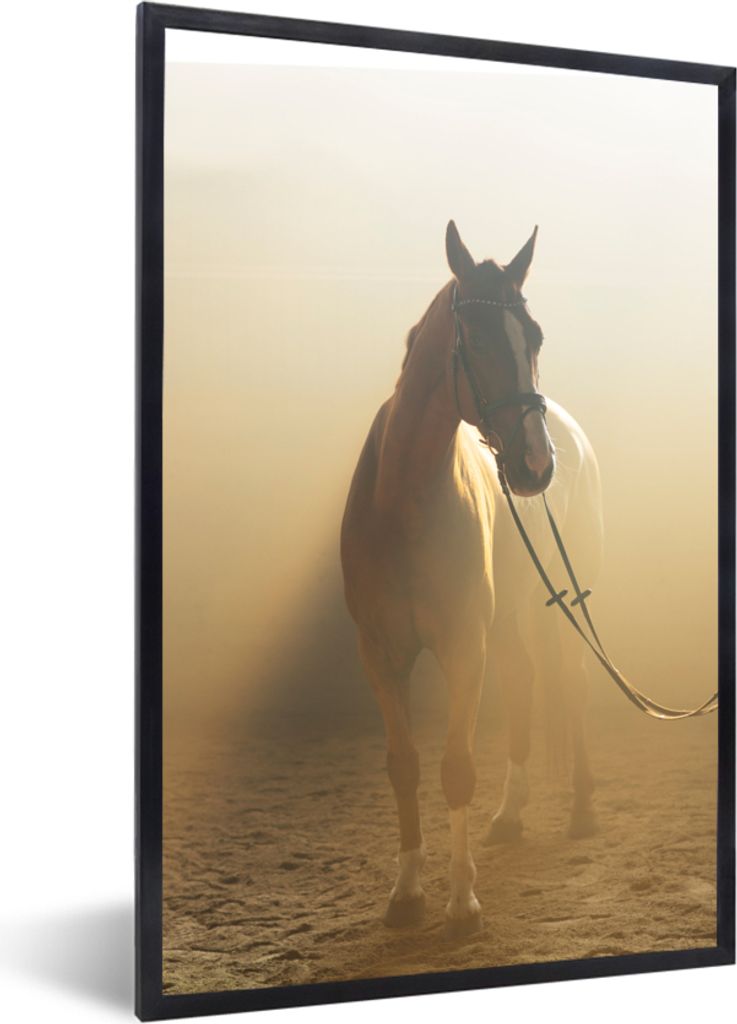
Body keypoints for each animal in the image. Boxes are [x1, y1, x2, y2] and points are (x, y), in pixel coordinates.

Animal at [340, 221, 603, 938]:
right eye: (477, 340)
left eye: (533, 336)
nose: (534, 465)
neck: (404, 504)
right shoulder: (380, 654)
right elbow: (404, 766)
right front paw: (406, 894)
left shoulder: (462, 647)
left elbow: (456, 769)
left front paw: (462, 903)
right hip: (509, 620)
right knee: (523, 684)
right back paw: (510, 817)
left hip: (555, 608)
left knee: (572, 685)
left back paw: (580, 812)